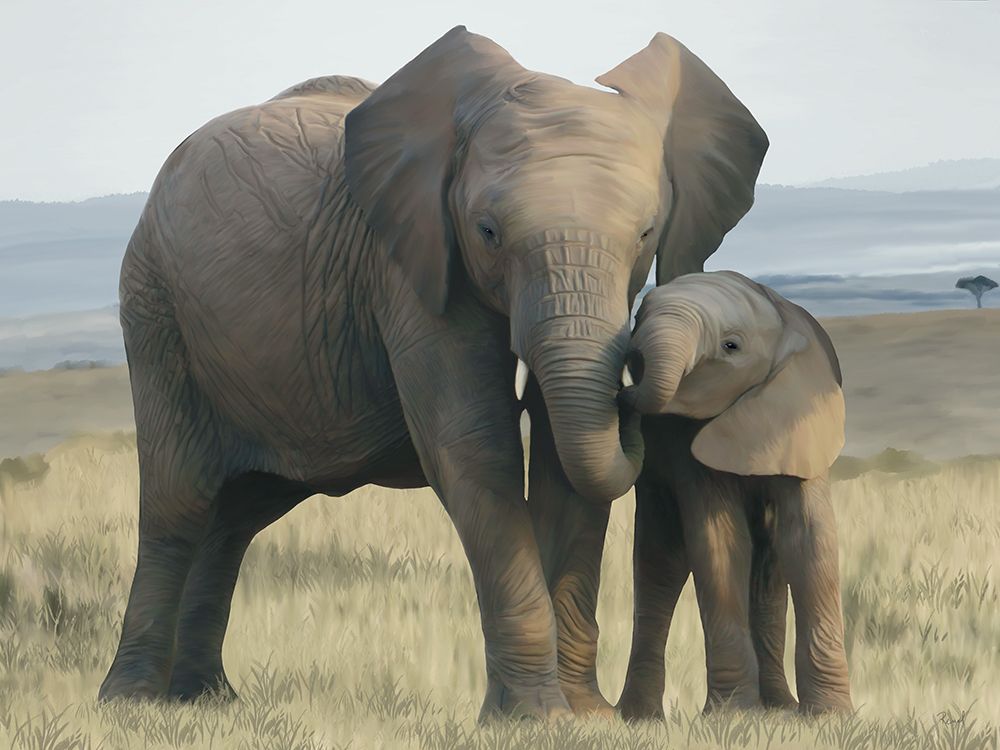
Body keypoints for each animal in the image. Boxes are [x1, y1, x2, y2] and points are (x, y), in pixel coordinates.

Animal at [97, 27, 769, 721]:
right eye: (488, 232)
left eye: (646, 234)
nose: (634, 384)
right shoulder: (409, 266)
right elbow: (475, 447)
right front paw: (534, 718)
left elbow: (564, 467)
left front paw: (585, 717)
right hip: (155, 310)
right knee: (178, 502)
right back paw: (131, 705)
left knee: (234, 516)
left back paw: (206, 700)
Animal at [616, 271, 853, 718]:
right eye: (637, 318)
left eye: (731, 346)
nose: (623, 395)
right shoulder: (684, 445)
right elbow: (720, 541)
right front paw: (732, 715)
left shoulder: (801, 419)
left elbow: (809, 540)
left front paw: (831, 716)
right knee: (661, 566)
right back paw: (640, 718)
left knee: (768, 568)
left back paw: (779, 706)